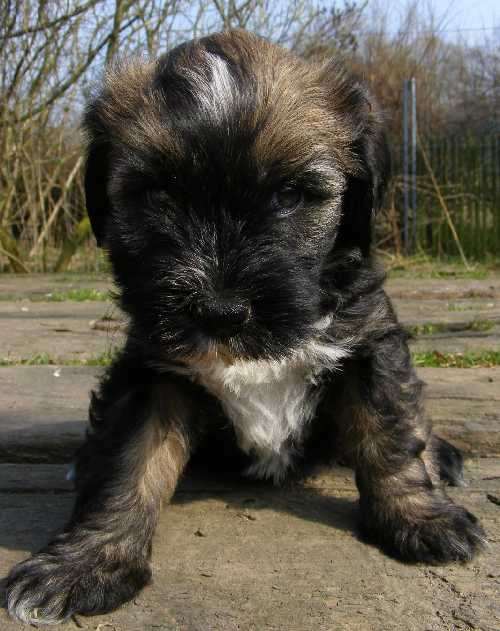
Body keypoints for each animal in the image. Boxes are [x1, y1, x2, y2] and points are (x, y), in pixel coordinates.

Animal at [5, 28, 486, 624]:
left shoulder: (369, 345)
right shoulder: (154, 372)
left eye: (291, 195)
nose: (220, 310)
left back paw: (441, 455)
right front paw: (85, 563)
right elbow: (128, 464)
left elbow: (390, 436)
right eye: (158, 194)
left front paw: (419, 518)